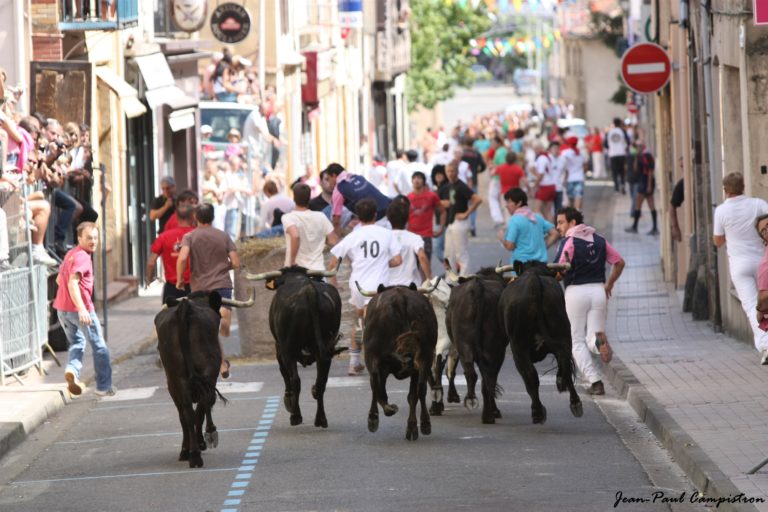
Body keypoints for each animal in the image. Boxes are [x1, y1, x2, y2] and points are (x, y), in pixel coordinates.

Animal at [154, 290, 254, 466]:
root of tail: (185, 308)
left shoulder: (173, 383)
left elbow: (188, 414)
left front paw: (189, 448)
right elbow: (204, 406)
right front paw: (204, 438)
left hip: (176, 376)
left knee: (187, 412)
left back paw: (191, 453)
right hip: (205, 371)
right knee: (203, 402)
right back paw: (200, 446)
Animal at [498, 264, 584, 424]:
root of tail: (534, 281)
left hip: (519, 348)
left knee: (531, 375)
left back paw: (539, 411)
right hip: (562, 333)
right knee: (563, 362)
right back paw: (571, 401)